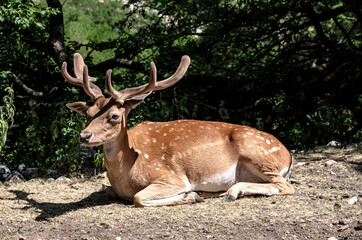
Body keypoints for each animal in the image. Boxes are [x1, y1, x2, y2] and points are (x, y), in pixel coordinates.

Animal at [61, 53, 294, 207]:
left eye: (115, 116)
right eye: (88, 113)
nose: (84, 136)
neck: (126, 173)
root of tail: (287, 155)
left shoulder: (171, 177)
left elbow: (139, 198)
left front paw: (191, 195)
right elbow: (109, 192)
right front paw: (195, 195)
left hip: (258, 152)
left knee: (285, 186)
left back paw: (230, 192)